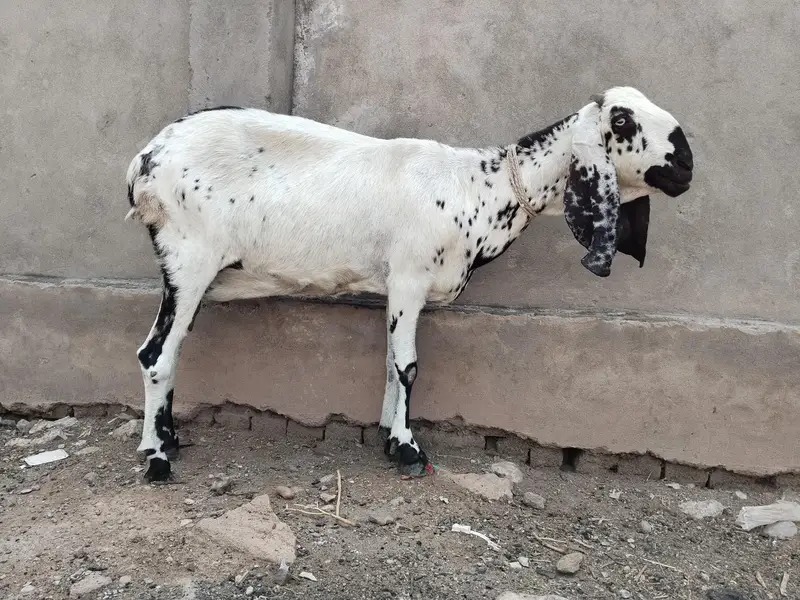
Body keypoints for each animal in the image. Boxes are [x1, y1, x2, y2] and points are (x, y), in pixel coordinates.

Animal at [125, 86, 694, 481]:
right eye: (621, 119)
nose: (687, 164)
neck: (478, 189)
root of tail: (145, 160)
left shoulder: (397, 290)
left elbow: (388, 364)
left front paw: (386, 434)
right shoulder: (408, 279)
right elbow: (408, 366)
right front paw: (407, 449)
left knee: (168, 351)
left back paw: (169, 440)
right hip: (190, 259)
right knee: (155, 354)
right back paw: (156, 459)